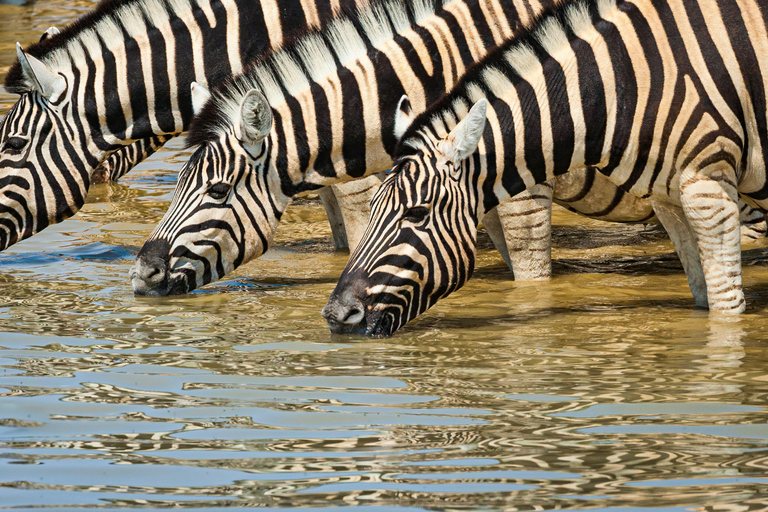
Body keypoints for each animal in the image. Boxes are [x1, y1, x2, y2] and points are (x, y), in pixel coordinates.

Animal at [324, 0, 768, 336]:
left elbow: (725, 309)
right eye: (376, 207)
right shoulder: (669, 199)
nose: (335, 316)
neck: (623, 86)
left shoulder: (708, 191)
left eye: (417, 213)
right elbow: (704, 295)